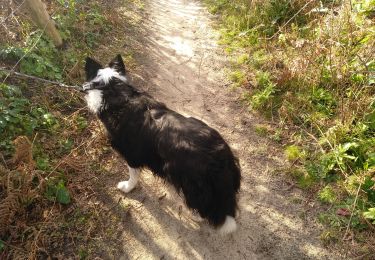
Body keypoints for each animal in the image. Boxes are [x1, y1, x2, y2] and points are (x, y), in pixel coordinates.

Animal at [83, 54, 241, 234]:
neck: (112, 89)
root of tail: (220, 153)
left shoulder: (131, 154)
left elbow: (133, 175)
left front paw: (127, 187)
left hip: (193, 184)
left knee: (205, 206)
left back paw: (196, 216)